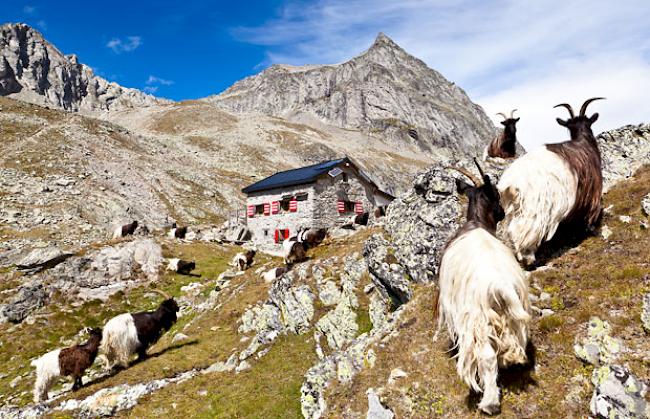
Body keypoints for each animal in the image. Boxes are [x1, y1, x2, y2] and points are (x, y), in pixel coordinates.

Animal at [432, 160, 528, 416]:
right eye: (496, 193)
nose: (502, 212)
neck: (476, 223)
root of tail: (499, 285)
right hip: (514, 311)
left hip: (478, 317)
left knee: (486, 356)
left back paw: (489, 403)